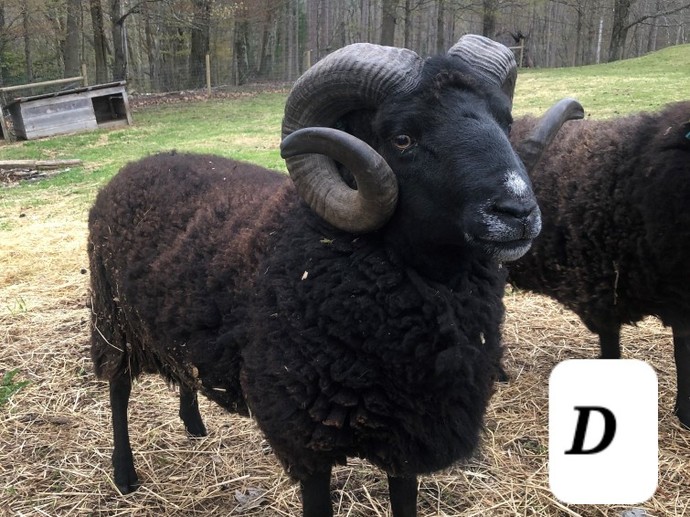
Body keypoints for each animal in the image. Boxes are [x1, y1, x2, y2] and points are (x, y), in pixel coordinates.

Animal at [88, 35, 582, 517]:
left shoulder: (409, 434)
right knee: (117, 388)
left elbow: (404, 502)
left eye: (504, 120)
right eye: (402, 138)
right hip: (112, 318)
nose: (518, 212)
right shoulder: (303, 435)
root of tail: (134, 167)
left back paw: (194, 425)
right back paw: (124, 475)